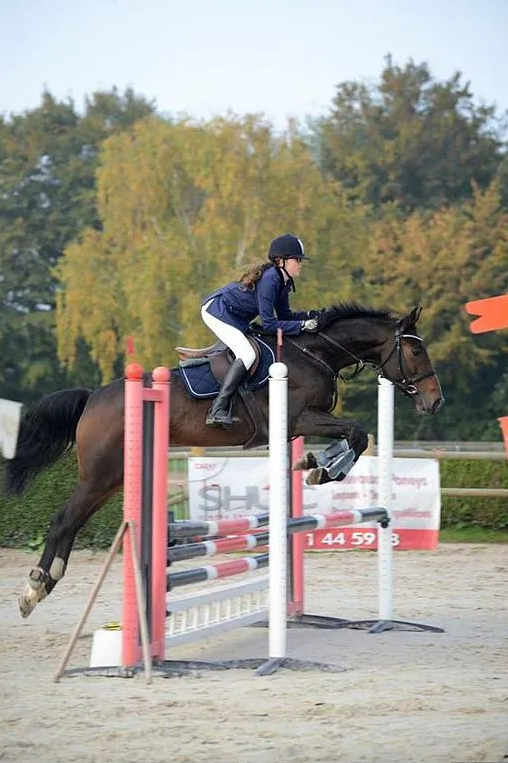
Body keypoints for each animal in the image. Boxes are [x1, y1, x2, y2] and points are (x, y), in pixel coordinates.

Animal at [4, 304, 443, 618]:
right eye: (415, 349)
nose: (435, 401)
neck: (315, 353)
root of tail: (93, 397)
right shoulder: (298, 418)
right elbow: (357, 431)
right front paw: (322, 469)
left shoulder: (300, 425)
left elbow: (354, 436)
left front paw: (315, 463)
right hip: (100, 475)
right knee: (63, 520)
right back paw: (34, 588)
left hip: (111, 479)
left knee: (73, 522)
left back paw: (45, 584)